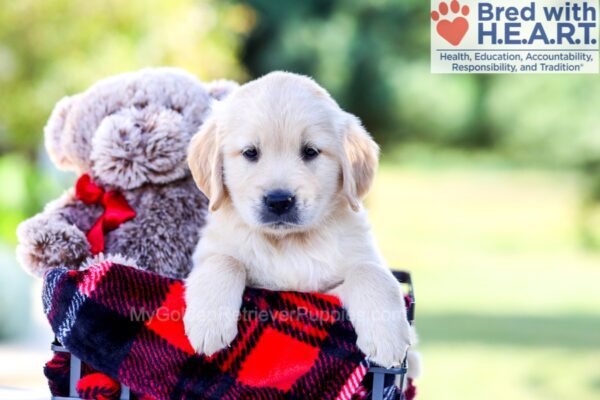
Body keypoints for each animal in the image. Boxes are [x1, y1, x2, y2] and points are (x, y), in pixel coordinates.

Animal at [185, 71, 412, 366]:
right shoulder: (209, 252)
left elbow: (370, 271)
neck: (289, 243)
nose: (279, 201)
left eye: (310, 151)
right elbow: (224, 261)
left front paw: (387, 337)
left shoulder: (332, 289)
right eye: (250, 152)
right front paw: (208, 325)